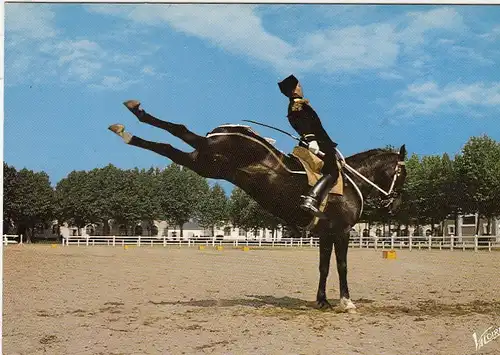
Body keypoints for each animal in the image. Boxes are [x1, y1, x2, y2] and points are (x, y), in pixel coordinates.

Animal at [109, 98, 406, 312]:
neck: (350, 183)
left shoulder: (326, 234)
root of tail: (224, 131)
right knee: (182, 131)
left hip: (203, 163)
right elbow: (342, 266)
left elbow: (324, 267)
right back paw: (133, 119)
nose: (393, 204)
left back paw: (129, 129)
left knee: (172, 146)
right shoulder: (341, 232)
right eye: (402, 173)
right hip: (211, 155)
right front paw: (346, 301)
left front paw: (322, 301)